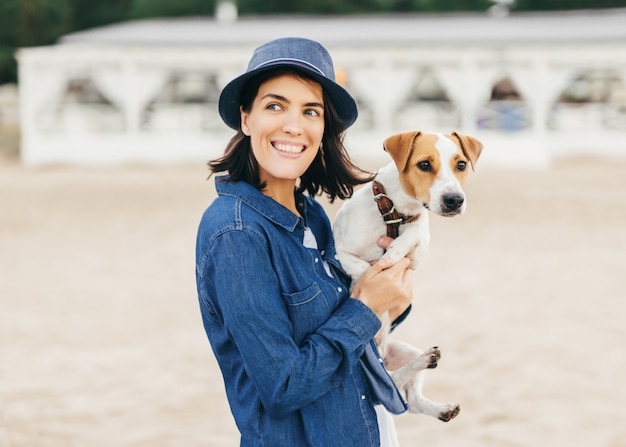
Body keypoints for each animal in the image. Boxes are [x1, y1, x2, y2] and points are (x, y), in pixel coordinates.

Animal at [334, 130, 480, 444]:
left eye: (461, 164)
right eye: (424, 164)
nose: (455, 200)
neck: (393, 213)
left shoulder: (418, 245)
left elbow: (414, 235)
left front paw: (394, 252)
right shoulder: (338, 250)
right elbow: (364, 269)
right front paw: (374, 275)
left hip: (405, 351)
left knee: (408, 399)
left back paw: (439, 400)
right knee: (394, 386)